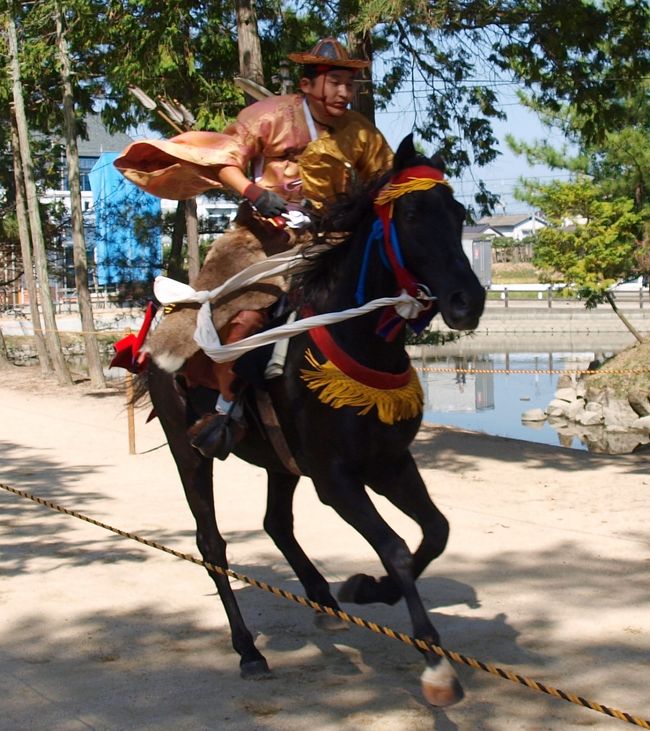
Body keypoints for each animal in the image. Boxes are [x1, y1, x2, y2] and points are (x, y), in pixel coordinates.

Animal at [144, 134, 484, 708]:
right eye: (412, 214)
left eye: (457, 213)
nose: (469, 301)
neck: (359, 339)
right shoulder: (336, 477)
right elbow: (395, 548)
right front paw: (434, 660)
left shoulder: (389, 462)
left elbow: (435, 531)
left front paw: (367, 588)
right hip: (186, 450)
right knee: (212, 544)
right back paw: (249, 651)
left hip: (280, 462)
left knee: (276, 523)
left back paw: (323, 598)